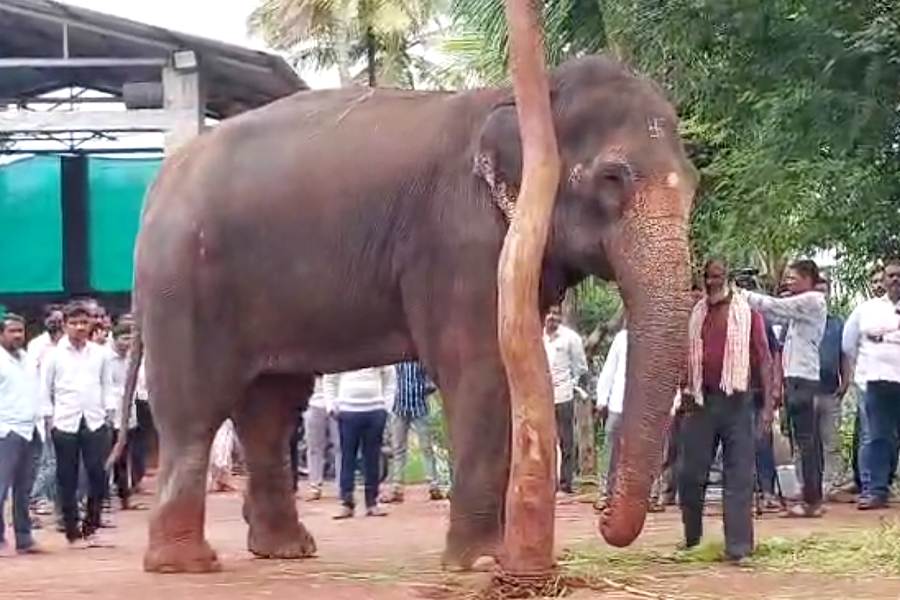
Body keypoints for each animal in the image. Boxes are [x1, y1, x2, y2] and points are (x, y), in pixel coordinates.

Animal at [116, 54, 696, 574]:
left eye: (694, 183)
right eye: (612, 178)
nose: (601, 517)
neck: (524, 98)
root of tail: (160, 184)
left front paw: (496, 556)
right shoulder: (460, 240)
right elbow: (482, 369)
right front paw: (481, 561)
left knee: (271, 408)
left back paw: (283, 550)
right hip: (182, 285)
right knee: (195, 410)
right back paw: (185, 564)